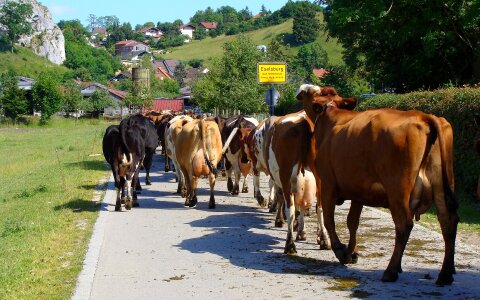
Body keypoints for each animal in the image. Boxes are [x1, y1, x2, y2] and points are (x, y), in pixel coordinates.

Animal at [298, 84, 460, 286]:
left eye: (309, 95)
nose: (299, 93)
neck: (332, 116)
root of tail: (423, 116)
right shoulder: (358, 190)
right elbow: (352, 222)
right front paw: (351, 252)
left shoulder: (328, 184)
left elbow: (330, 220)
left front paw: (341, 251)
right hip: (441, 186)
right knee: (448, 221)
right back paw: (445, 273)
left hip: (398, 190)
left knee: (404, 224)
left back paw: (391, 270)